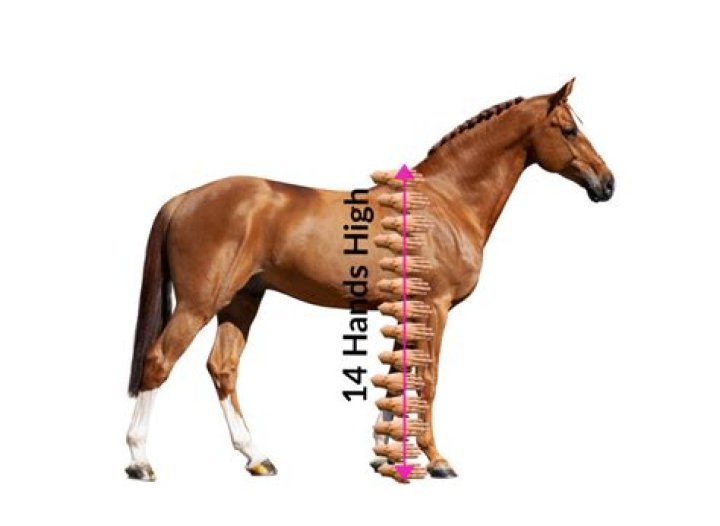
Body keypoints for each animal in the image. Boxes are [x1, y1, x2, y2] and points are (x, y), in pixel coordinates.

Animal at [125, 78, 615, 481]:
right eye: (568, 130)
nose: (607, 183)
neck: (445, 201)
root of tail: (183, 199)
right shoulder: (435, 308)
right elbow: (426, 378)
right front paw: (436, 460)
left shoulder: (407, 309)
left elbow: (398, 375)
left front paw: (384, 457)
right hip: (200, 303)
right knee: (159, 361)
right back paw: (140, 461)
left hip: (241, 300)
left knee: (223, 368)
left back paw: (257, 457)